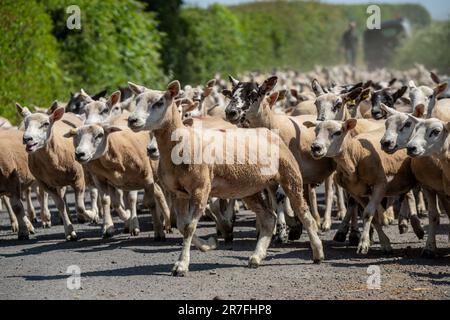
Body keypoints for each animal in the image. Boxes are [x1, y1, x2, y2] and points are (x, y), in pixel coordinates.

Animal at [15, 104, 98, 241]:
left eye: (46, 124)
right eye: (25, 123)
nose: (27, 139)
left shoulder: (79, 179)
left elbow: (80, 207)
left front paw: (91, 215)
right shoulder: (46, 185)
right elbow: (60, 206)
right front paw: (69, 231)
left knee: (94, 191)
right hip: (58, 182)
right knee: (63, 197)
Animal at [127, 79, 324, 276]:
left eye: (159, 102)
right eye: (137, 100)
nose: (132, 120)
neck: (183, 142)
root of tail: (267, 131)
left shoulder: (200, 189)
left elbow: (189, 227)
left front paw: (182, 265)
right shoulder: (179, 193)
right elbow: (183, 226)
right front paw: (208, 245)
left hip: (290, 176)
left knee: (304, 214)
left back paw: (317, 252)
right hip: (248, 188)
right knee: (269, 218)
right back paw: (256, 257)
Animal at [306, 119, 418, 254]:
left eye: (338, 132)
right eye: (315, 131)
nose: (315, 147)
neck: (355, 154)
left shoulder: (380, 185)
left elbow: (368, 213)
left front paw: (364, 244)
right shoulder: (356, 192)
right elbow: (372, 217)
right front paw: (383, 242)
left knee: (410, 195)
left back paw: (414, 226)